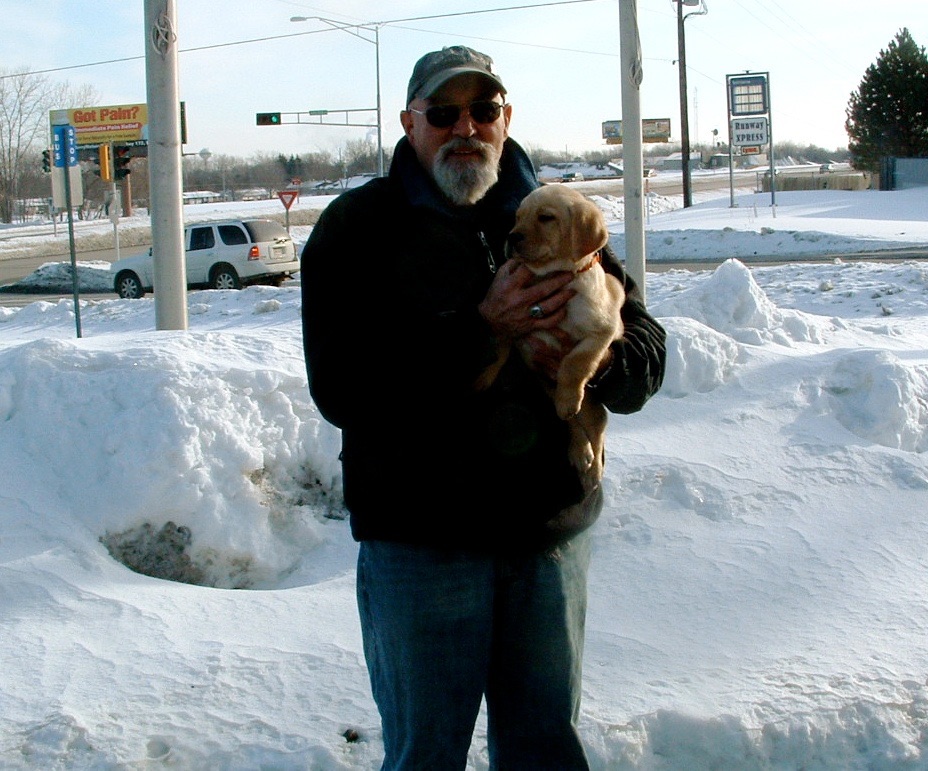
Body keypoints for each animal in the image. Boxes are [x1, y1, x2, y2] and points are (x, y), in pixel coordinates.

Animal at [478, 184, 624, 492]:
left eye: (546, 218)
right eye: (517, 217)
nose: (511, 237)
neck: (548, 275)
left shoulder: (602, 329)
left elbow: (574, 362)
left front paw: (568, 397)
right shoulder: (514, 324)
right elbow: (500, 344)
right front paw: (484, 377)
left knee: (596, 428)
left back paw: (593, 470)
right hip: (548, 387)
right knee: (575, 425)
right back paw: (579, 452)